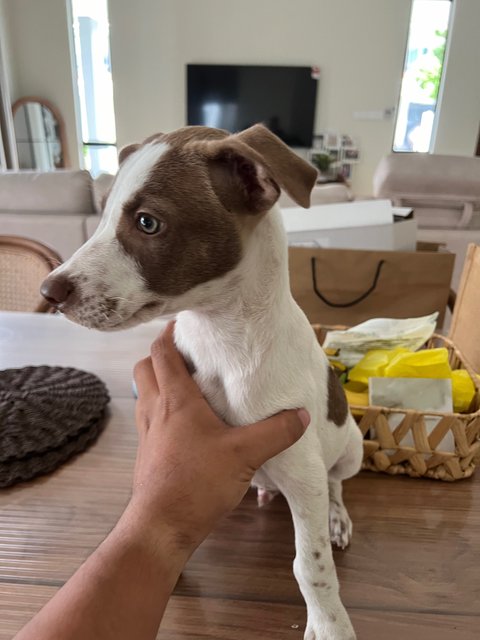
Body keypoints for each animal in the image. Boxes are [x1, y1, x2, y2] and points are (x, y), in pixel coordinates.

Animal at [41, 126, 362, 640]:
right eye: (103, 214)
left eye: (148, 223)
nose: (48, 292)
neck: (223, 343)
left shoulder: (303, 470)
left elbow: (310, 564)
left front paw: (330, 623)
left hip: (351, 448)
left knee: (337, 483)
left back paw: (337, 517)